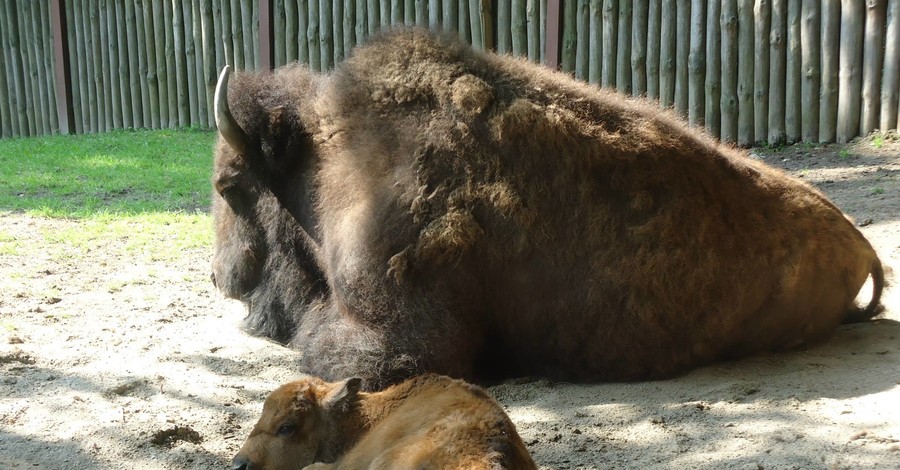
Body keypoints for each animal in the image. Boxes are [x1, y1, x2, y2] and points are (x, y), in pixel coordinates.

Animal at [209, 28, 880, 390]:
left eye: (229, 186)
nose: (219, 276)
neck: (325, 163)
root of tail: (860, 241)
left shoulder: (399, 342)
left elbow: (321, 346)